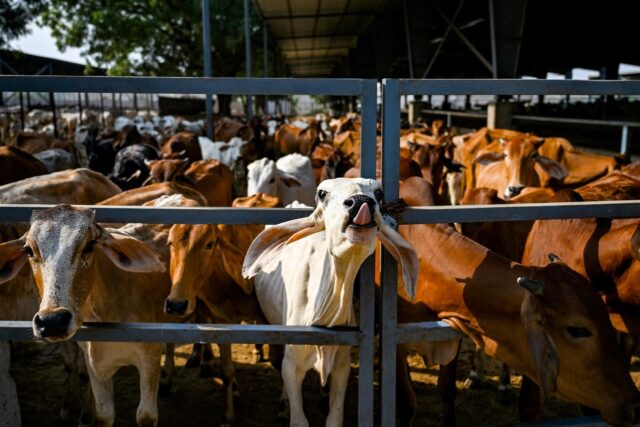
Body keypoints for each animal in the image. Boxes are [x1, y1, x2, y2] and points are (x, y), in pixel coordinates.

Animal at [242, 178, 418, 427]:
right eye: (322, 193)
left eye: (378, 193)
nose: (361, 201)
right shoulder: (292, 366)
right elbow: (298, 418)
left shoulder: (342, 367)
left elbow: (334, 418)